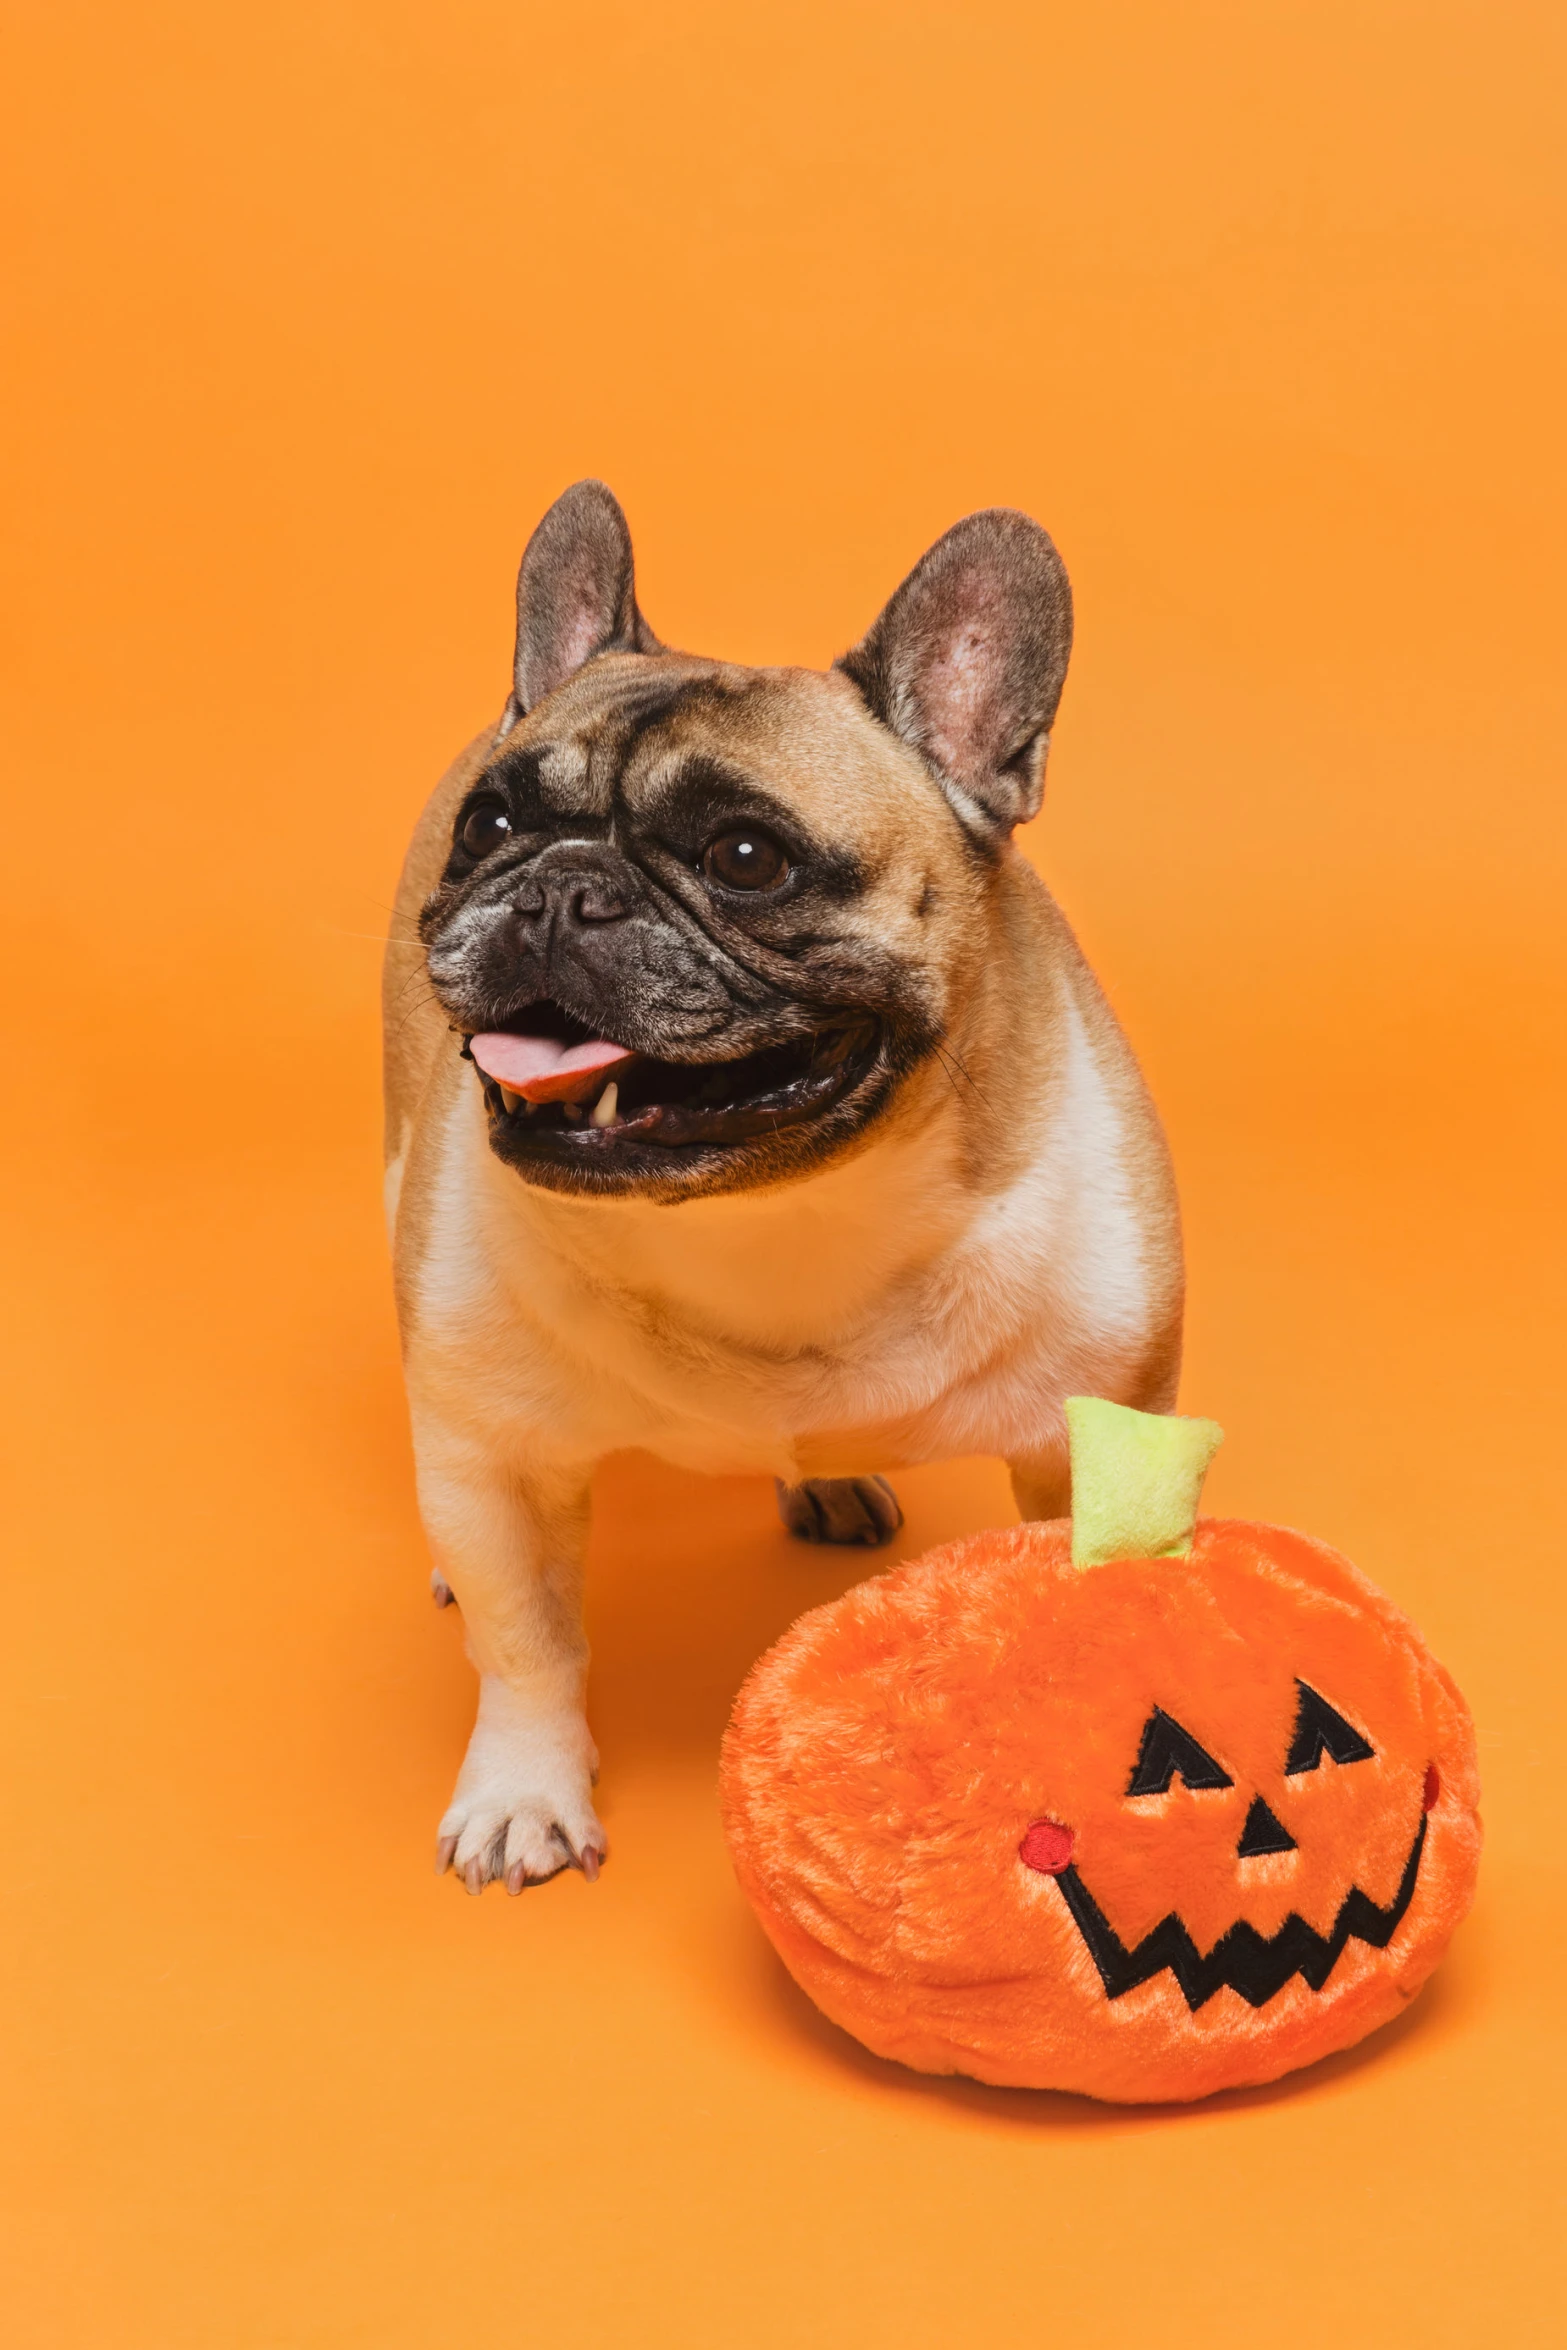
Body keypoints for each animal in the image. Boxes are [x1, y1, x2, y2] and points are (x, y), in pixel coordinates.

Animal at [385, 477, 1184, 1889]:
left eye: (748, 857)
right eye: (494, 825)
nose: (555, 883)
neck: (764, 1206)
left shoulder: (1093, 1436)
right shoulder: (497, 1462)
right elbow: (528, 1643)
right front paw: (524, 1792)